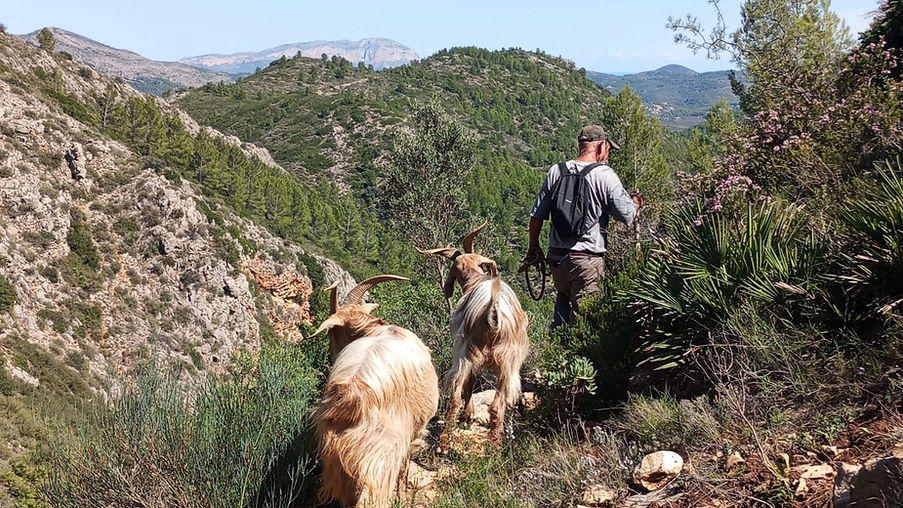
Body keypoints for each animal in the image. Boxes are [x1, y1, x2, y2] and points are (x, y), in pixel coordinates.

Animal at [312, 275, 439, 508]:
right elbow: (404, 470)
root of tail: (349, 396)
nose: (330, 356)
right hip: (379, 457)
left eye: (333, 333)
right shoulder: (414, 432)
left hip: (337, 459)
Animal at [418, 224, 530, 444]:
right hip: (507, 363)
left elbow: (470, 382)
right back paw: (494, 442)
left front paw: (468, 416)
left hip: (466, 354)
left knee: (456, 396)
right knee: (496, 405)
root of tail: (492, 315)